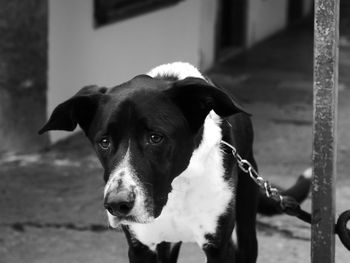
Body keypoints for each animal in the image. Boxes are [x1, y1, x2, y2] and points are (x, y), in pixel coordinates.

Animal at [39, 63, 312, 262]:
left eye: (155, 137)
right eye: (104, 142)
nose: (117, 205)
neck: (177, 188)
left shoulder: (219, 247)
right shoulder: (141, 247)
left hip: (246, 224)